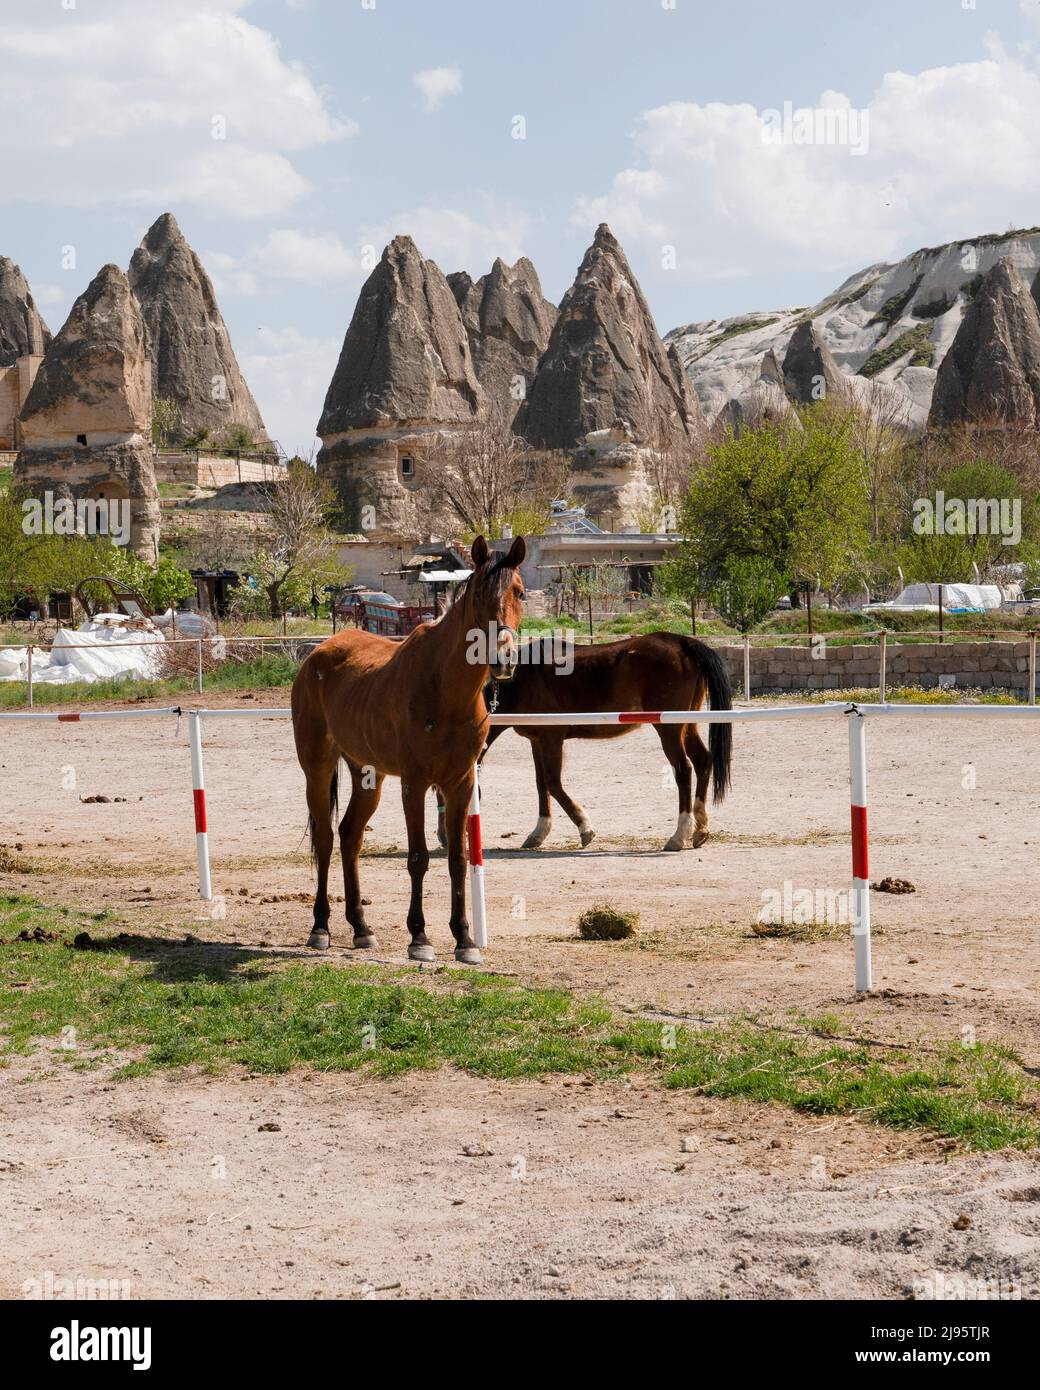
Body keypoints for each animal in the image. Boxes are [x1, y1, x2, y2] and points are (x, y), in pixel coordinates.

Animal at [291, 534, 526, 964]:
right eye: (480, 593)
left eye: (518, 592)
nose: (504, 658)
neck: (445, 689)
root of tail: (318, 653)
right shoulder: (414, 783)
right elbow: (417, 858)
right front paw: (420, 937)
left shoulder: (460, 783)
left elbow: (457, 859)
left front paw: (464, 939)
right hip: (317, 769)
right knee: (327, 839)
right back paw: (320, 928)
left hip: (368, 775)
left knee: (350, 836)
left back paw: (361, 928)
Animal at [458, 632, 733, 852]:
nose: (453, 840)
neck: (523, 679)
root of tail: (682, 642)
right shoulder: (537, 741)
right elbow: (541, 785)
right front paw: (538, 832)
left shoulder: (551, 739)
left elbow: (553, 784)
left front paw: (585, 828)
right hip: (687, 725)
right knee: (703, 761)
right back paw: (700, 829)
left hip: (670, 728)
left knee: (683, 769)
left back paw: (679, 835)